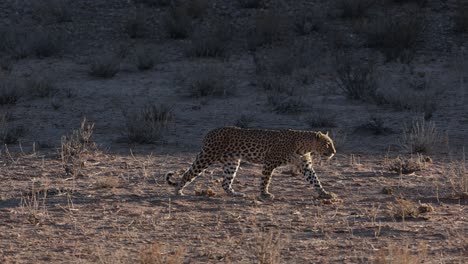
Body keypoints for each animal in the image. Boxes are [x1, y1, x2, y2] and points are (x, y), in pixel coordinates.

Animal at [166, 127, 338, 199]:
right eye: (327, 144)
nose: (334, 152)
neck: (304, 145)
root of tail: (210, 132)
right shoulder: (269, 161)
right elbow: (265, 180)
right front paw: (265, 194)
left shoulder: (305, 166)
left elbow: (315, 180)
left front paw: (325, 194)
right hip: (207, 156)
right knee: (188, 174)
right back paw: (178, 191)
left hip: (232, 162)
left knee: (225, 182)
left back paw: (235, 193)